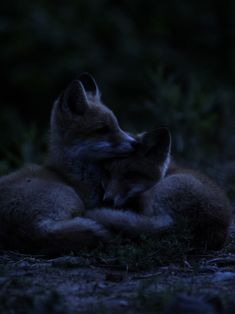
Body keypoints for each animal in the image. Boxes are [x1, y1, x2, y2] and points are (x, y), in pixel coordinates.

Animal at [0, 72, 136, 254]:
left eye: (117, 125)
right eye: (103, 129)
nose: (137, 143)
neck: (73, 177)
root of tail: (30, 231)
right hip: (71, 199)